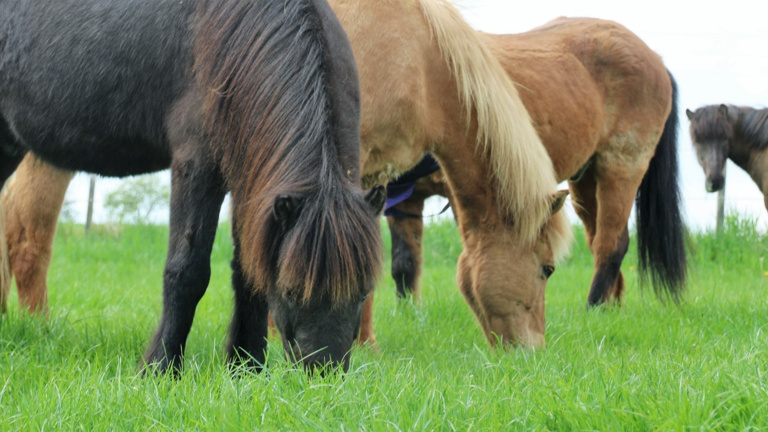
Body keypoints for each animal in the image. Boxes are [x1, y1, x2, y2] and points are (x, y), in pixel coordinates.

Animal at [1, 0, 568, 352]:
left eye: (363, 285)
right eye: (547, 269)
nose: (532, 352)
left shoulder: (257, 174)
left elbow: (249, 268)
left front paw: (245, 366)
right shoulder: (199, 164)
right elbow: (187, 271)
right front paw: (161, 369)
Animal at [388, 16, 688, 308]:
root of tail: (656, 60)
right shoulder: (402, 199)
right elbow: (404, 262)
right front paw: (408, 313)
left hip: (622, 166)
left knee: (611, 242)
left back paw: (592, 307)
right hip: (585, 179)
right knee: (598, 238)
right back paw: (608, 308)